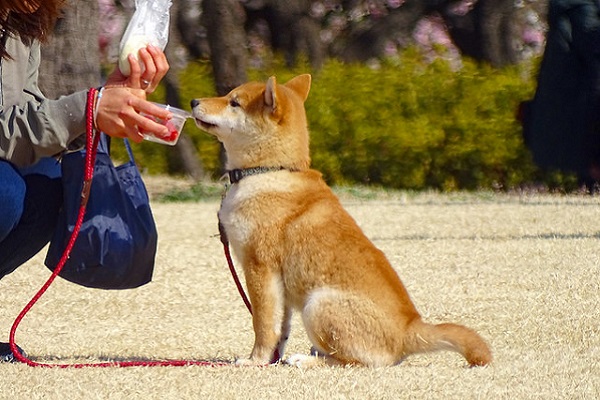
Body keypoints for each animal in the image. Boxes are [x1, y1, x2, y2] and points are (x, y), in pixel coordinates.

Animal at [192, 73, 492, 368]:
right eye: (228, 96)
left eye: (234, 102)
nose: (194, 101)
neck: (270, 171)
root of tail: (409, 329)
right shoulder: (280, 285)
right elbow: (280, 329)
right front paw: (272, 359)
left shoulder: (260, 267)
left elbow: (263, 324)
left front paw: (255, 360)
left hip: (317, 304)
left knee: (349, 361)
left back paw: (307, 360)